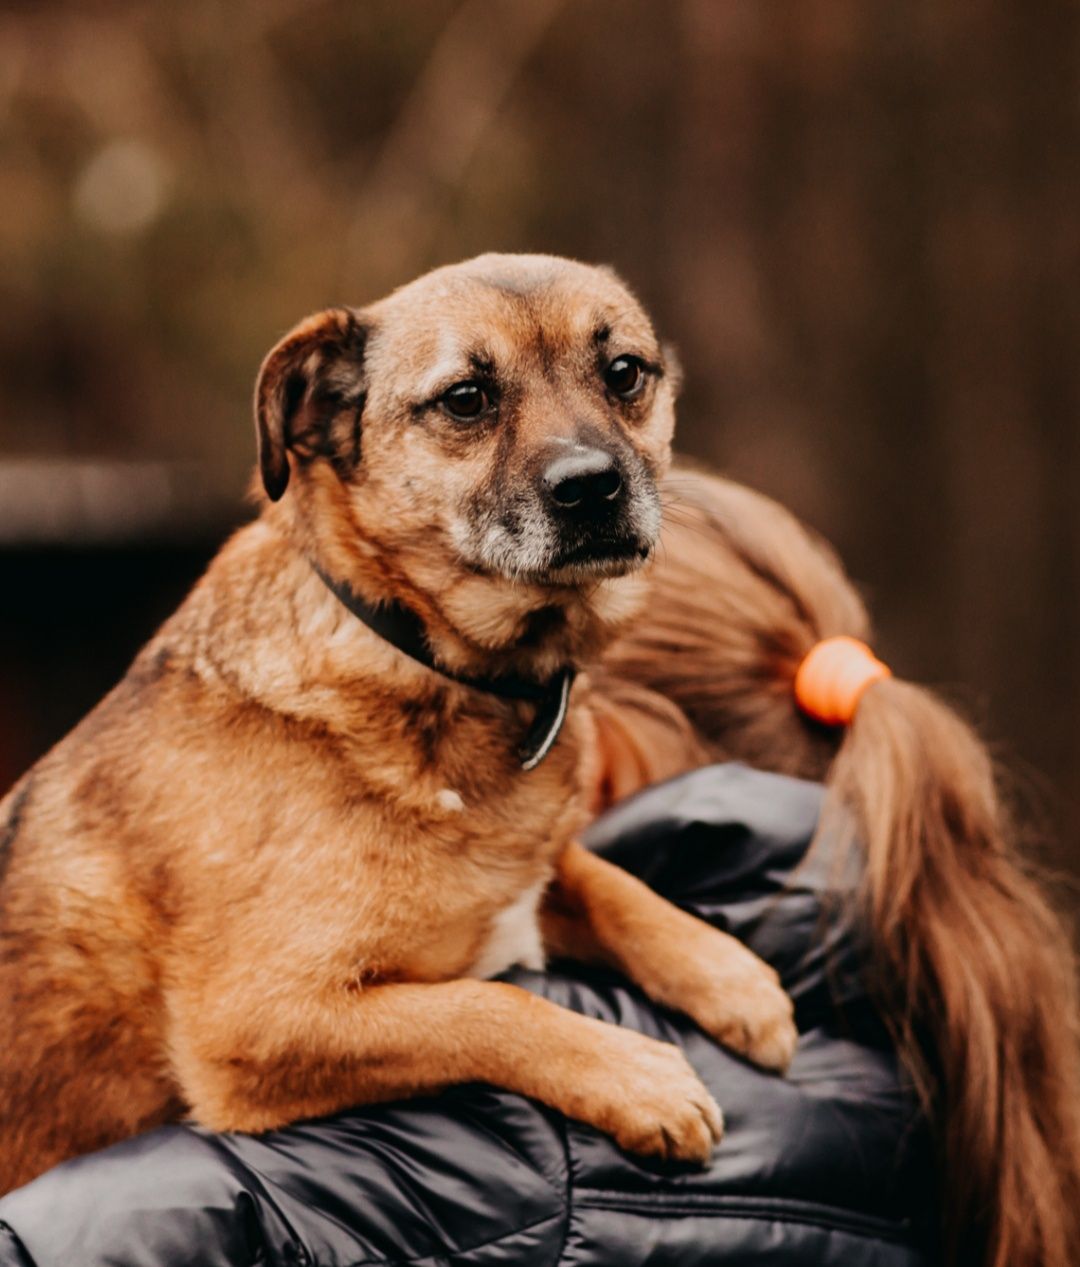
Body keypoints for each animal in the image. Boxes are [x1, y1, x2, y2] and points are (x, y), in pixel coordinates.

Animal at [0, 252, 790, 1190]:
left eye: (625, 373)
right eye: (466, 398)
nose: (593, 484)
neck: (427, 657)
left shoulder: (520, 877)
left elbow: (600, 878)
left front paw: (731, 975)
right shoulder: (257, 1020)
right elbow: (489, 1003)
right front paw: (635, 1075)